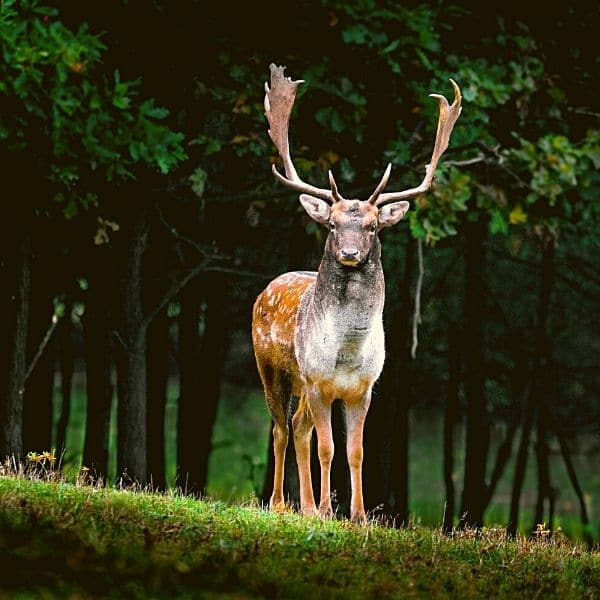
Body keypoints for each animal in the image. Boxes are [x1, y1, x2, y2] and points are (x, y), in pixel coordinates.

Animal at [251, 65, 462, 524]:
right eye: (332, 224)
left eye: (372, 226)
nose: (349, 253)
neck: (346, 353)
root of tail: (267, 288)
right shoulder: (318, 381)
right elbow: (328, 448)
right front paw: (328, 510)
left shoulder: (364, 389)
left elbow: (356, 451)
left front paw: (359, 515)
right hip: (272, 369)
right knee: (280, 428)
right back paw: (281, 503)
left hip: (302, 386)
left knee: (298, 427)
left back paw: (305, 505)